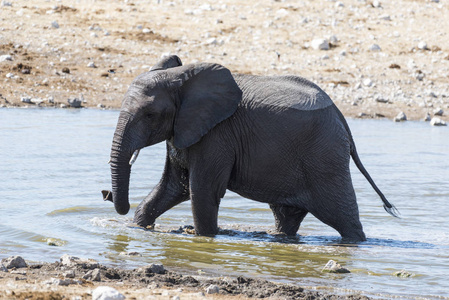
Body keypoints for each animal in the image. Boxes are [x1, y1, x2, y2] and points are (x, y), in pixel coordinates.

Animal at [102, 54, 400, 241]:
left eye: (149, 115)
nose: (106, 195)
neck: (180, 78)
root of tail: (341, 116)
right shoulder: (185, 130)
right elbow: (173, 186)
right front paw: (139, 227)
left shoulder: (217, 135)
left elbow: (202, 191)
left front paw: (204, 238)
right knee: (287, 215)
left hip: (325, 156)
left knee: (343, 216)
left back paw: (355, 241)